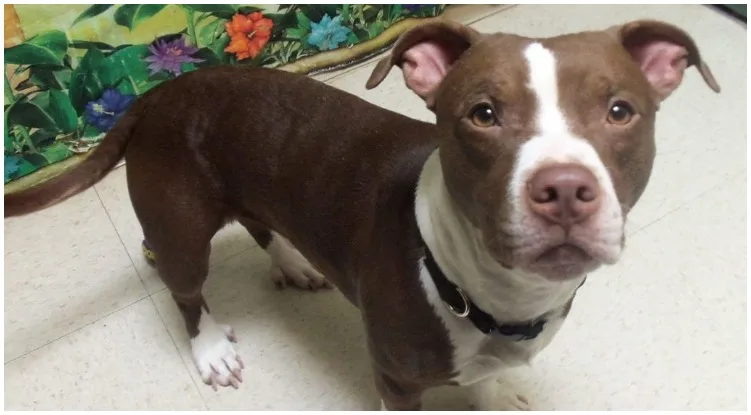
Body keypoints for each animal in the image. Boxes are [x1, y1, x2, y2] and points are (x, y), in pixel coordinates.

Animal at [7, 18, 724, 410]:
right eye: (483, 114)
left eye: (620, 110)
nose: (564, 188)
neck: (486, 294)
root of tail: (156, 94)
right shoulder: (397, 382)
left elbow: (488, 381)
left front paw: (495, 392)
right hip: (179, 228)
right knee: (182, 287)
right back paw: (209, 347)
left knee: (261, 223)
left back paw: (293, 264)